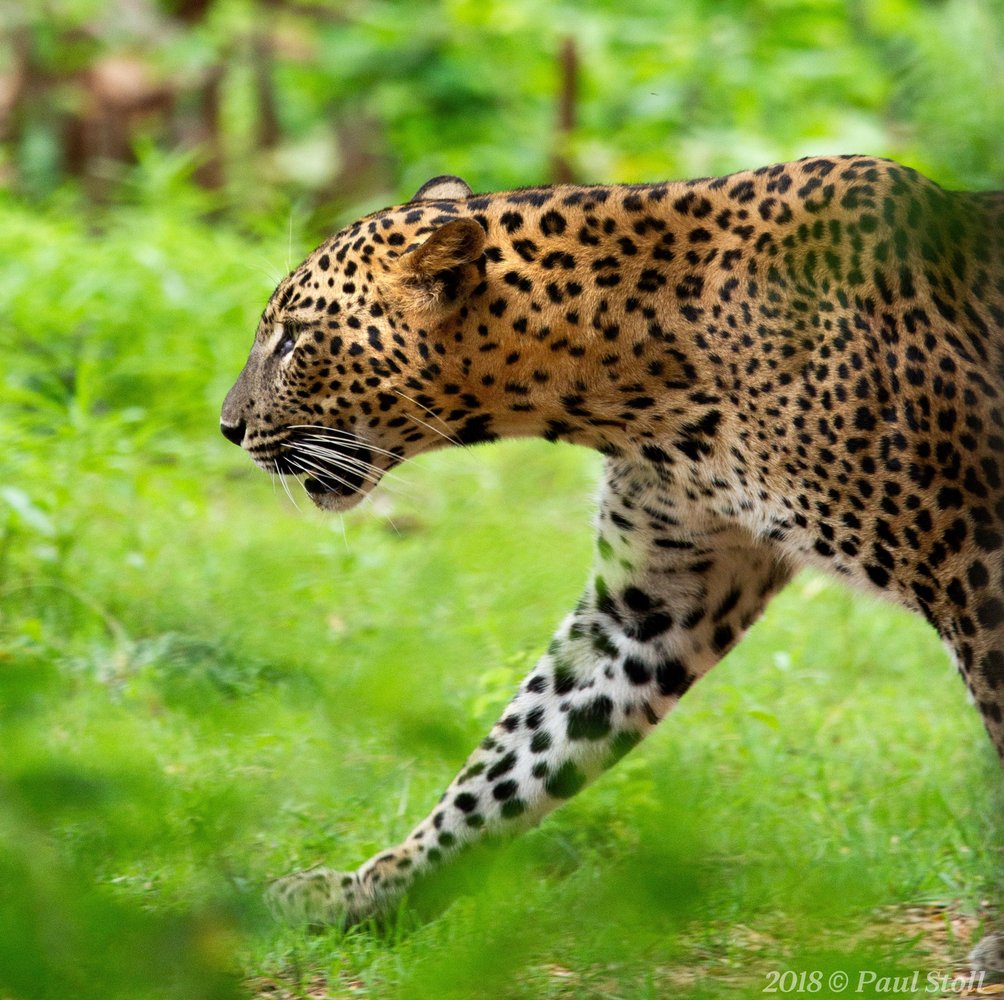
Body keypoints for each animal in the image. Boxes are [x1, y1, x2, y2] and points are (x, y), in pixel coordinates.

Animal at [221, 152, 1003, 947]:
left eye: (294, 338)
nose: (227, 426)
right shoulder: (650, 604)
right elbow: (516, 758)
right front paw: (368, 894)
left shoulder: (980, 566)